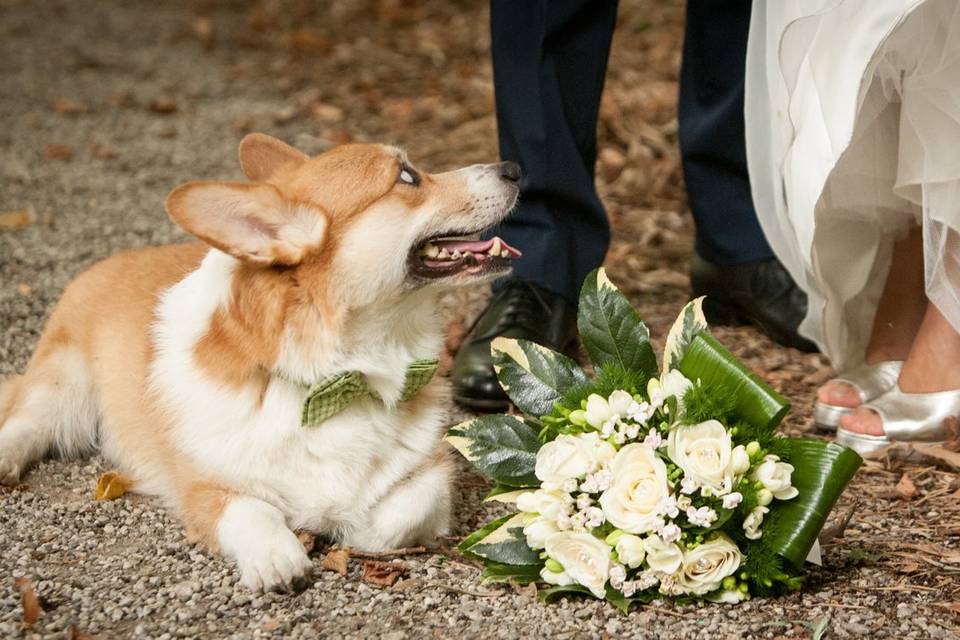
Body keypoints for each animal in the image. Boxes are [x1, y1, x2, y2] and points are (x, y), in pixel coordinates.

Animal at [0, 132, 520, 592]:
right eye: (407, 176)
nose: (513, 169)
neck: (340, 376)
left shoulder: (435, 469)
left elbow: (399, 512)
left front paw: (352, 528)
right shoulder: (206, 488)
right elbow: (252, 509)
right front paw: (278, 557)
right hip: (66, 388)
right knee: (26, 419)